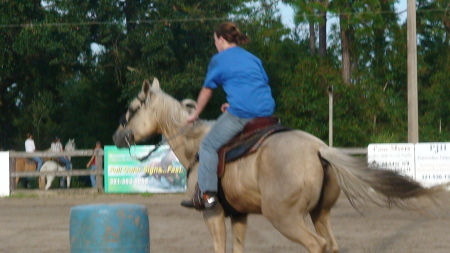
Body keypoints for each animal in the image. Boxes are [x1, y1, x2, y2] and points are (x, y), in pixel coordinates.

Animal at [112, 77, 450, 253]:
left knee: (316, 245)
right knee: (331, 245)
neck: (195, 145)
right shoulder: (239, 215)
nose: (117, 136)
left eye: (131, 108)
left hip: (285, 217)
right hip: (320, 213)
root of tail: (319, 148)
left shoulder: (212, 212)